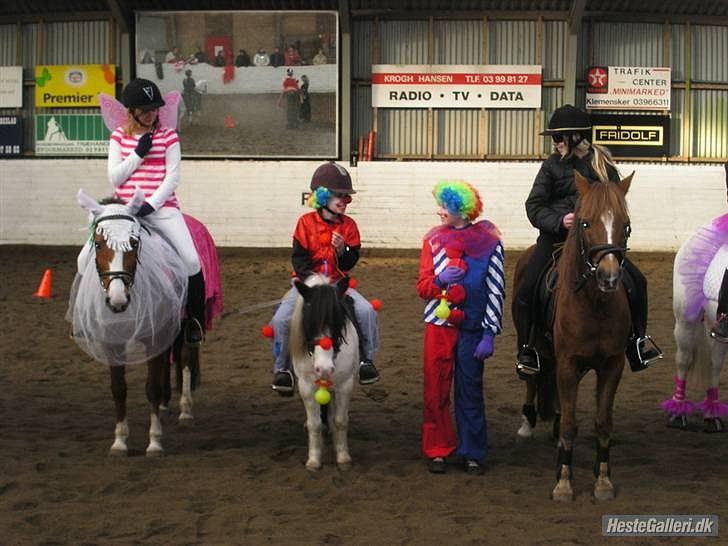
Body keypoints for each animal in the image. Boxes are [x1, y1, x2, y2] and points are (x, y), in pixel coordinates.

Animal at [69, 191, 218, 454]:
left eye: (134, 243)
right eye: (98, 244)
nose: (117, 299)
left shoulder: (153, 335)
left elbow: (152, 388)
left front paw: (155, 442)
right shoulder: (112, 341)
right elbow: (119, 389)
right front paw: (119, 442)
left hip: (185, 322)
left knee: (185, 357)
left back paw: (185, 410)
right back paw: (167, 404)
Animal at [512, 170, 636, 498]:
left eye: (626, 225)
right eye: (585, 223)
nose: (609, 277)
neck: (594, 304)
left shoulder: (612, 365)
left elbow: (602, 423)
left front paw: (603, 480)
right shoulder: (568, 363)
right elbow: (570, 424)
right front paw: (564, 483)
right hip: (533, 345)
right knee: (532, 378)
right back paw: (527, 422)